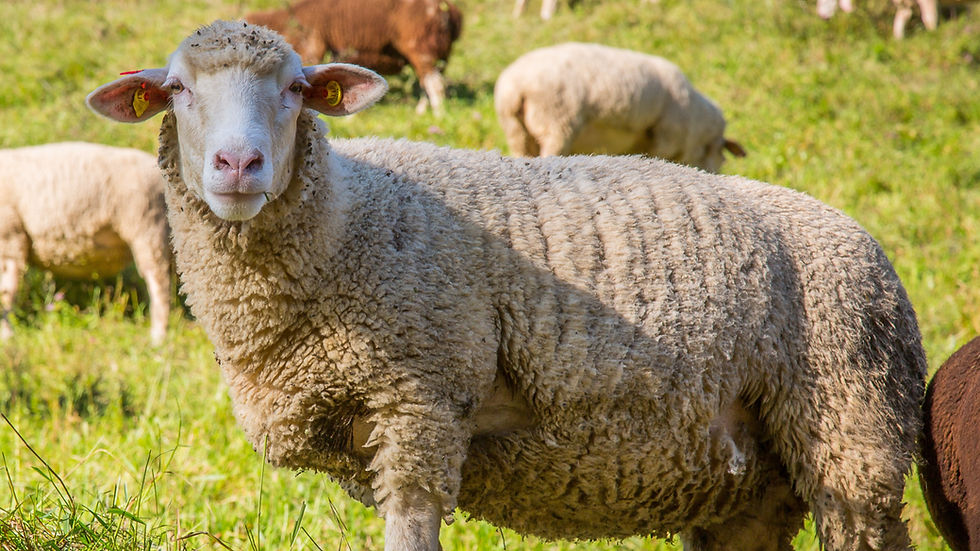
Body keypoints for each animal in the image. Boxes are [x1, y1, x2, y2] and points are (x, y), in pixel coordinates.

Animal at [0, 142, 171, 344]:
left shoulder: (10, 237)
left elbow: (6, 292)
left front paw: (6, 335)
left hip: (147, 227)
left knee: (159, 284)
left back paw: (158, 337)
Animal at [244, 0, 462, 115]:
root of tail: (449, 10)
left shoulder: (313, 48)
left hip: (422, 49)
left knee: (435, 85)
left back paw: (439, 115)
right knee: (429, 84)